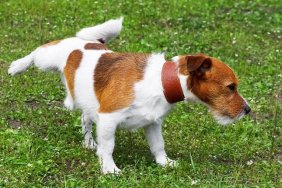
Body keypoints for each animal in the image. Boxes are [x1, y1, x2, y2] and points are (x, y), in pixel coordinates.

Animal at [8, 18, 251, 175]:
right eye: (231, 87)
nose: (248, 110)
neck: (160, 81)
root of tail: (86, 41)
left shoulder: (152, 124)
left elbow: (158, 146)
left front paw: (165, 163)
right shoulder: (108, 118)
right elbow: (108, 147)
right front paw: (110, 169)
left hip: (88, 101)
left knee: (85, 119)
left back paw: (88, 142)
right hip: (47, 58)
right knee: (37, 51)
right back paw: (17, 66)